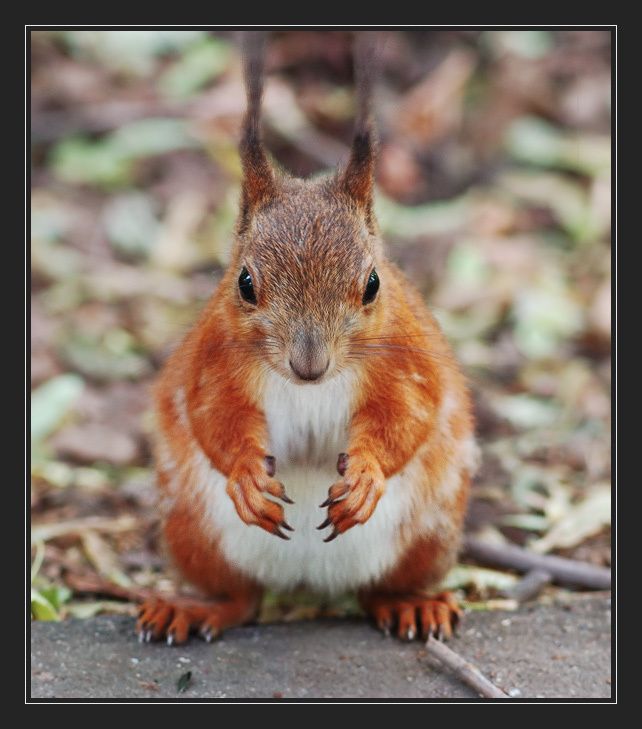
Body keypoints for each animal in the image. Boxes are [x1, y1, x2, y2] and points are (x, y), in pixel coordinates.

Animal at [137, 31, 479, 645]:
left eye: (372, 283)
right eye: (245, 283)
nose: (309, 364)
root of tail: (307, 586)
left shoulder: (407, 363)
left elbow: (407, 414)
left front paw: (366, 474)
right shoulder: (212, 363)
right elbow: (213, 416)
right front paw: (246, 474)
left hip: (428, 535)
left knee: (377, 592)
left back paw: (412, 604)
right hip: (195, 536)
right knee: (241, 600)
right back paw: (193, 609)